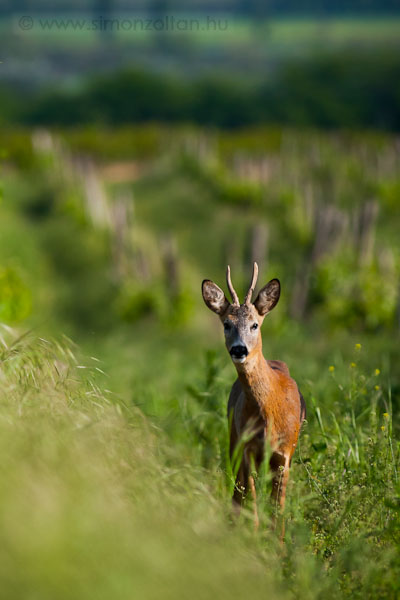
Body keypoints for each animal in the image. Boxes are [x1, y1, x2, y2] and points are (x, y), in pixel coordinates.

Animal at [202, 262, 304, 528]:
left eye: (255, 324)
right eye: (226, 324)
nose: (239, 349)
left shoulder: (284, 453)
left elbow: (278, 507)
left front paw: (276, 539)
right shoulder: (246, 446)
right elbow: (252, 498)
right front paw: (254, 534)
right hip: (233, 438)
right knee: (239, 491)